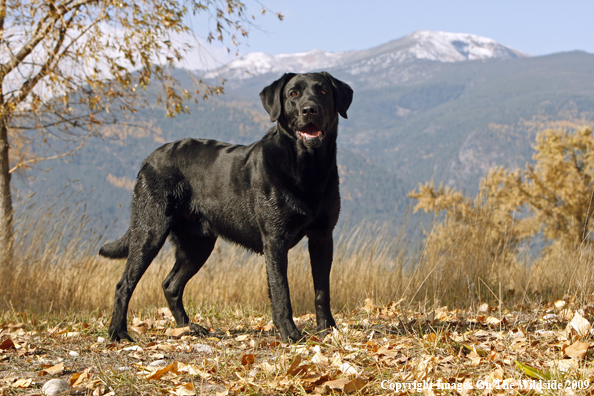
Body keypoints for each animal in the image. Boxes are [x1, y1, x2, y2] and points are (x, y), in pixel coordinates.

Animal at [98, 72, 352, 344]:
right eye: (293, 93)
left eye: (323, 92)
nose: (310, 109)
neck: (307, 168)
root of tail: (148, 159)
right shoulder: (275, 240)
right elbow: (281, 291)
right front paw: (290, 333)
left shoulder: (322, 237)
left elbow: (322, 290)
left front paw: (328, 329)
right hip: (149, 231)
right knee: (124, 284)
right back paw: (118, 332)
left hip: (197, 245)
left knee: (171, 284)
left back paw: (188, 327)